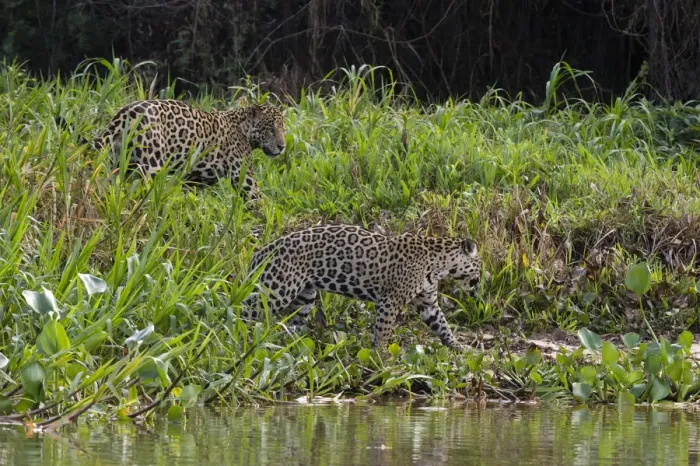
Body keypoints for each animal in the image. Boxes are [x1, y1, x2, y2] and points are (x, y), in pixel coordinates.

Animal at [83, 99, 286, 199]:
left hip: (117, 163)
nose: (282, 147)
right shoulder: (245, 180)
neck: (244, 128)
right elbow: (262, 202)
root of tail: (125, 113)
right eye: (271, 129)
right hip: (152, 167)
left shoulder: (191, 180)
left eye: (283, 128)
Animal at [240, 224, 484, 351]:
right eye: (480, 264)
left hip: (305, 297)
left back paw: (291, 343)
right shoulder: (390, 300)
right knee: (245, 309)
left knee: (291, 322)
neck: (440, 264)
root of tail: (263, 250)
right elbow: (383, 330)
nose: (480, 280)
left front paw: (459, 346)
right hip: (276, 290)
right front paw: (382, 355)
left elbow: (443, 325)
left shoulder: (428, 303)